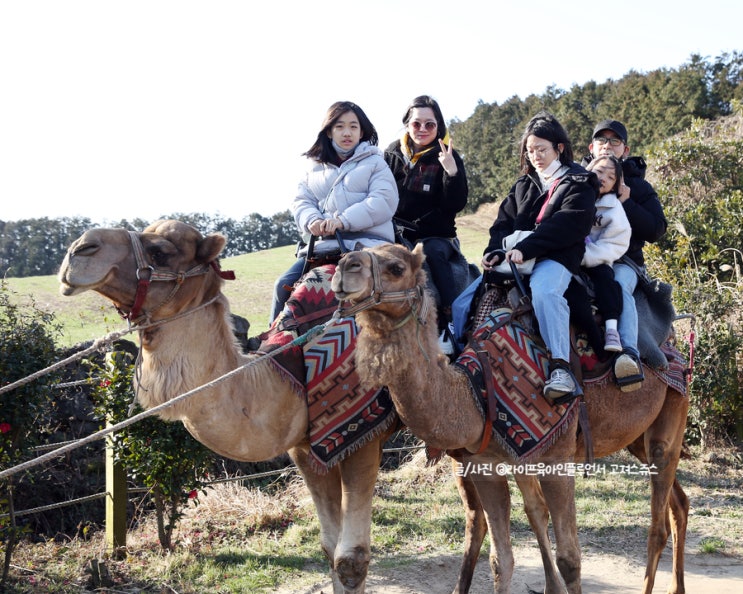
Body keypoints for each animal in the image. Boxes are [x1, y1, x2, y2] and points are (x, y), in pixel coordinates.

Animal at [58, 219, 398, 592]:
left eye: (160, 251)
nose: (80, 248)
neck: (288, 367)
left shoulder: (361, 436)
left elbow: (350, 559)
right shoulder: (305, 447)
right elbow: (329, 547)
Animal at [332, 242, 692, 592]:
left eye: (396, 267)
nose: (345, 266)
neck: (477, 386)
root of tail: (675, 340)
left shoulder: (556, 459)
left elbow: (570, 559)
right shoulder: (484, 464)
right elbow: (500, 560)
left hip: (674, 406)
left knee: (658, 520)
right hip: (636, 437)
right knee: (678, 503)